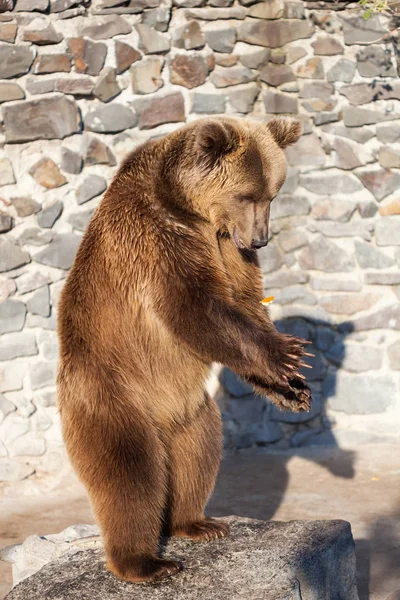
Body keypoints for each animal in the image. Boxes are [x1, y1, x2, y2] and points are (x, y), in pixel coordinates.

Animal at [57, 115, 312, 584]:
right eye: (247, 194)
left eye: (273, 194)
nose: (261, 240)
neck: (189, 208)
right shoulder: (154, 238)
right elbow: (196, 307)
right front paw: (286, 352)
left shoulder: (226, 245)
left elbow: (245, 300)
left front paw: (293, 389)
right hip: (111, 396)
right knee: (130, 476)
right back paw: (146, 561)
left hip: (192, 411)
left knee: (199, 455)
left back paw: (197, 523)